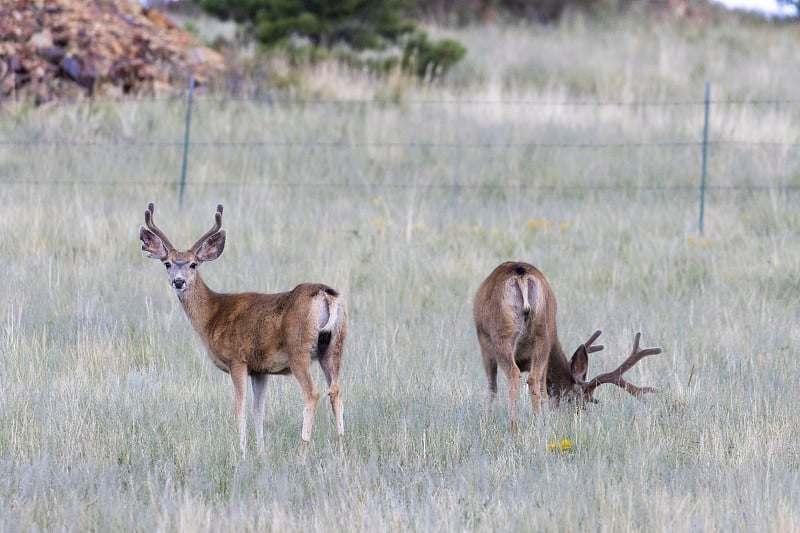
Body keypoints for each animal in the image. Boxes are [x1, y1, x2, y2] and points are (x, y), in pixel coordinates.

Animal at [139, 202, 346, 456]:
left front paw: (242, 451)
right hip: (334, 347)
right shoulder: (260, 369)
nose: (178, 281)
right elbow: (259, 410)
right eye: (167, 263)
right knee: (335, 391)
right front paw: (261, 452)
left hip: (299, 349)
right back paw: (341, 450)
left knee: (312, 393)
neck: (212, 315)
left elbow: (241, 407)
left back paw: (302, 453)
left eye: (193, 264)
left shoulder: (237, 359)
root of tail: (325, 294)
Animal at [476, 262, 664, 432]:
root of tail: (521, 275)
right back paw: (536, 425)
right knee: (535, 380)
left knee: (515, 375)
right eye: (577, 400)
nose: (577, 418)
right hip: (542, 332)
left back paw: (515, 429)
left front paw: (487, 423)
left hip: (502, 335)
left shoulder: (485, 345)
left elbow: (492, 387)